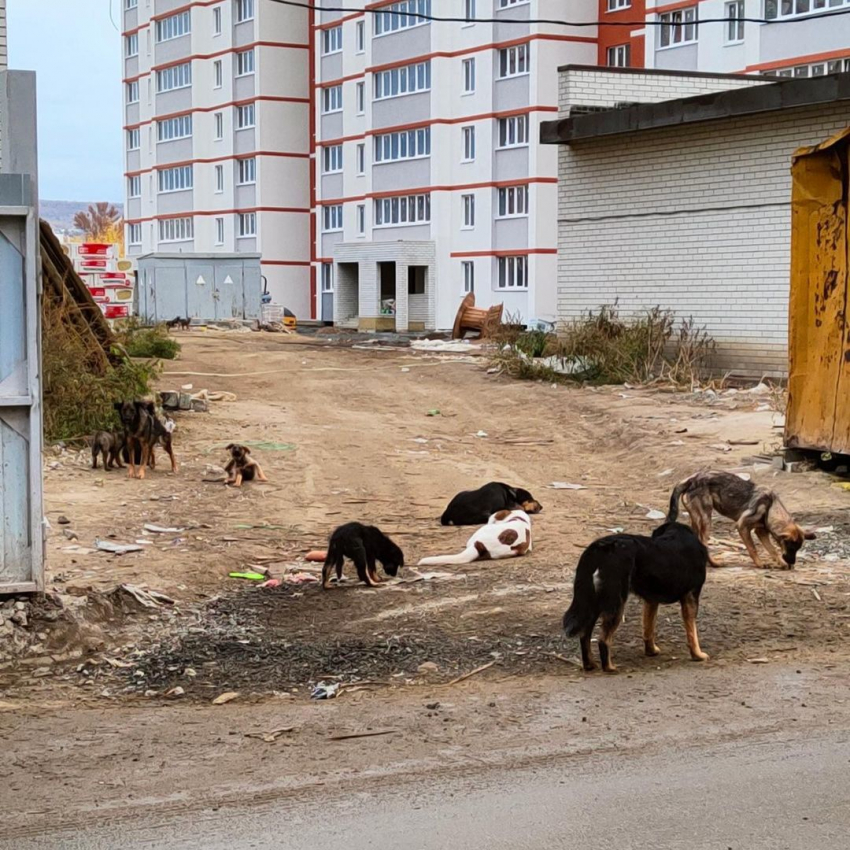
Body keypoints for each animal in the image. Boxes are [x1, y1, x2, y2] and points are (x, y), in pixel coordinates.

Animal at [564, 520, 708, 672]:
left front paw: (651, 651)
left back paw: (590, 665)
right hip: (615, 603)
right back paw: (610, 668)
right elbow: (692, 633)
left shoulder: (651, 600)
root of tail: (599, 547)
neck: (677, 532)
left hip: (592, 603)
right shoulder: (691, 597)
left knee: (584, 635)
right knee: (603, 640)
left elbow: (648, 628)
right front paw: (697, 655)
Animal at [664, 468, 812, 568]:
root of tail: (691, 479)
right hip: (706, 519)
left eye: (797, 549)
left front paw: (781, 563)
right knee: (704, 543)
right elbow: (753, 548)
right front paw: (760, 564)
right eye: (791, 548)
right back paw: (714, 563)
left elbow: (772, 550)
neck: (771, 506)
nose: (792, 563)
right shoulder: (742, 527)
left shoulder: (761, 532)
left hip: (696, 519)